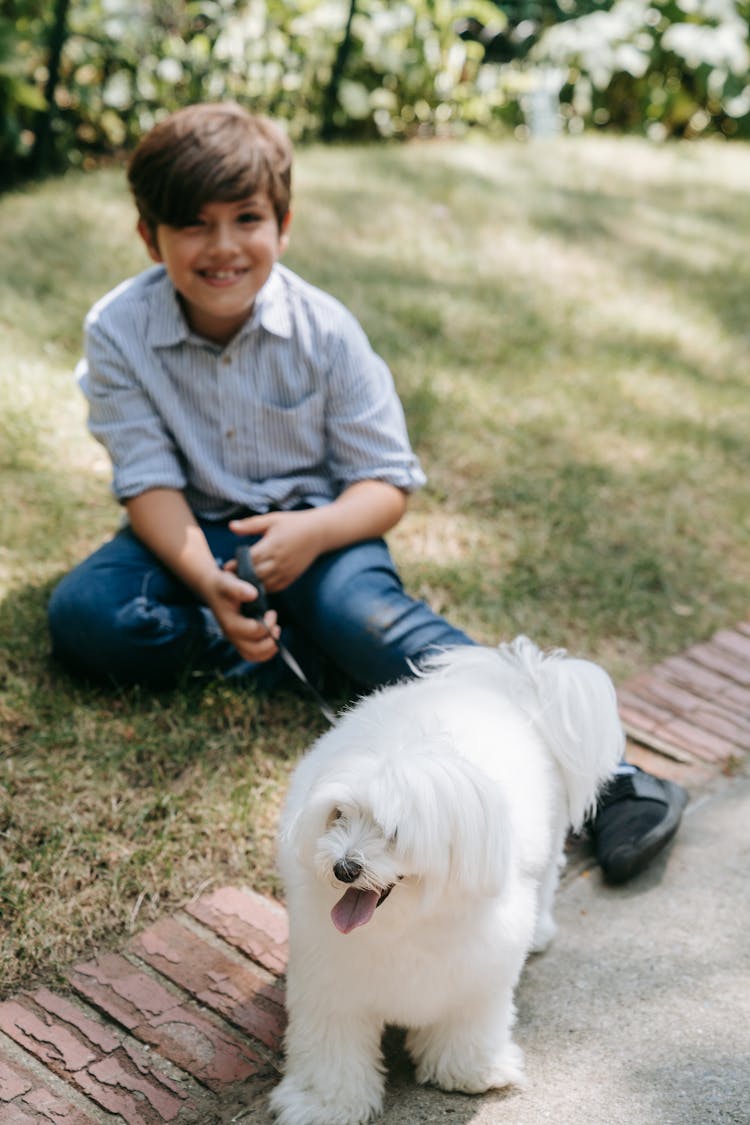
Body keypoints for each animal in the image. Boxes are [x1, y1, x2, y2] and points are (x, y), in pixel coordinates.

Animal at [268, 639, 620, 1120]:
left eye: (396, 832)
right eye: (338, 815)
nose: (344, 868)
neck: (405, 922)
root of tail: (510, 683)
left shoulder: (478, 977)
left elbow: (467, 1024)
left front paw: (469, 1072)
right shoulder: (331, 986)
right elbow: (331, 1049)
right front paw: (325, 1105)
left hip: (548, 847)